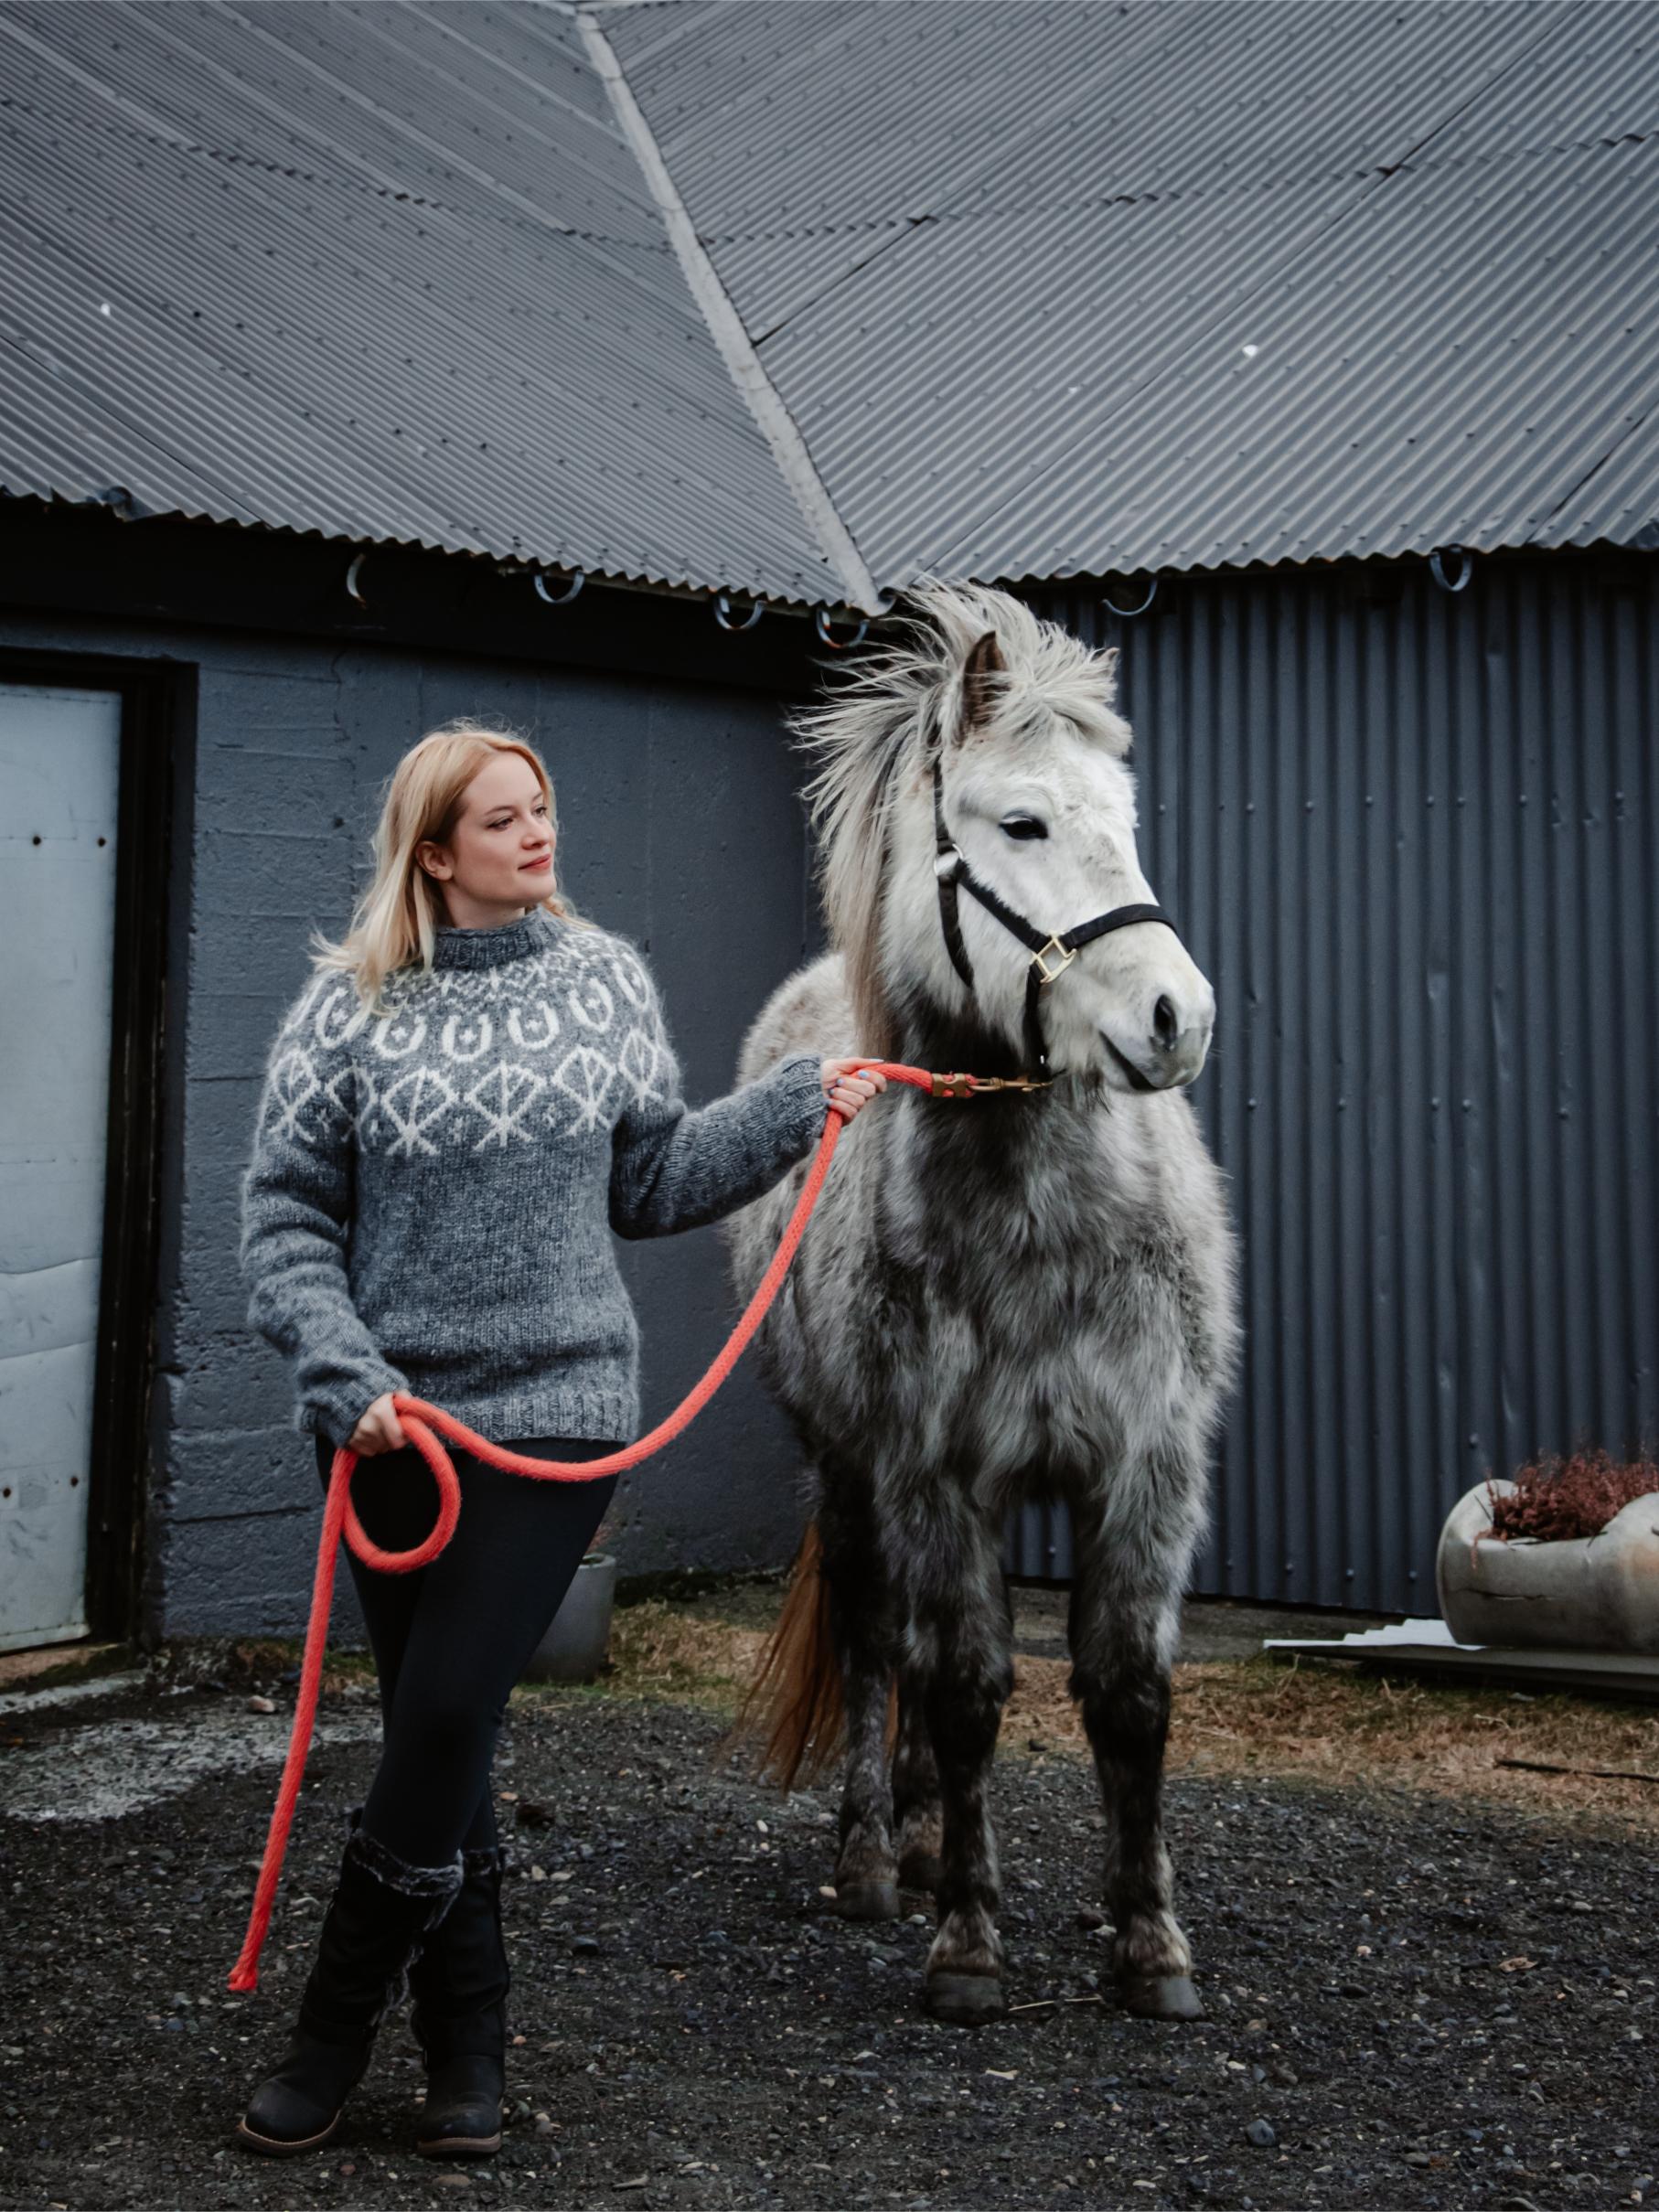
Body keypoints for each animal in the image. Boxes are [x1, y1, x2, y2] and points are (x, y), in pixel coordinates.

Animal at [730, 583, 1247, 2025]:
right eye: (1020, 823)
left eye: (1124, 823)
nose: (1177, 1015)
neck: (1042, 1223)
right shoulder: (933, 1470)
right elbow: (960, 1688)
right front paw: (964, 1941)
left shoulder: (1146, 1466)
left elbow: (1125, 1694)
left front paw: (1149, 1942)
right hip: (847, 1469)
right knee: (875, 1637)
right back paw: (874, 1852)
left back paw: (912, 1835)